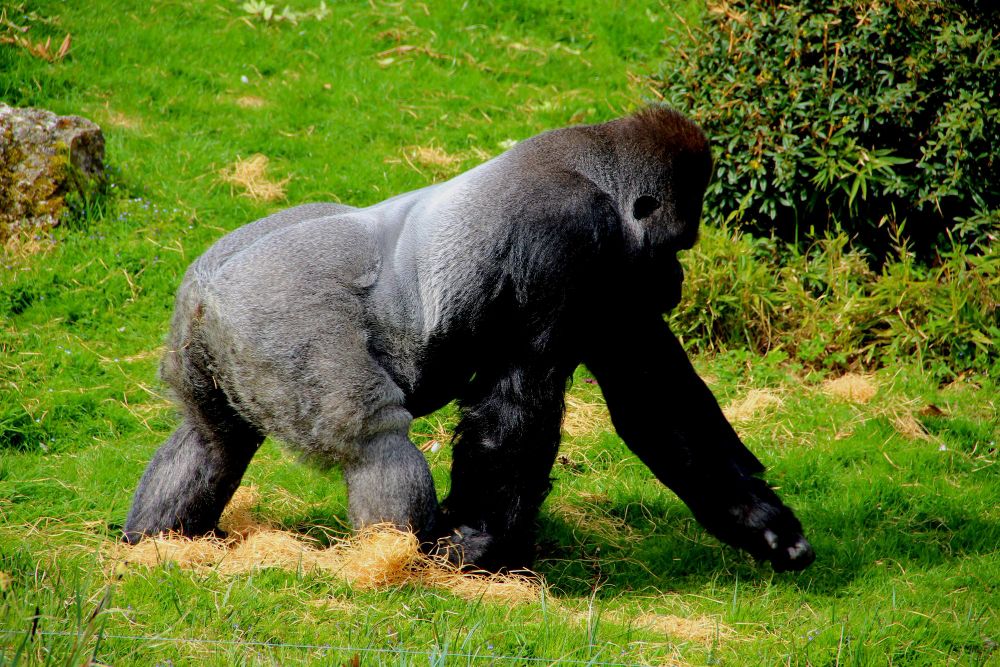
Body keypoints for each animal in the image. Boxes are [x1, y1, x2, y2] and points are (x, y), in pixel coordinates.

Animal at [123, 107, 815, 573]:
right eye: (677, 247)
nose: (674, 282)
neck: (598, 176)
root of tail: (208, 288)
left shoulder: (612, 286)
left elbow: (656, 402)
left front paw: (764, 525)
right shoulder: (564, 239)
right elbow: (518, 403)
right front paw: (480, 547)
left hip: (205, 338)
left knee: (212, 438)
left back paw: (157, 543)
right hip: (279, 312)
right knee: (376, 443)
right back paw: (397, 565)